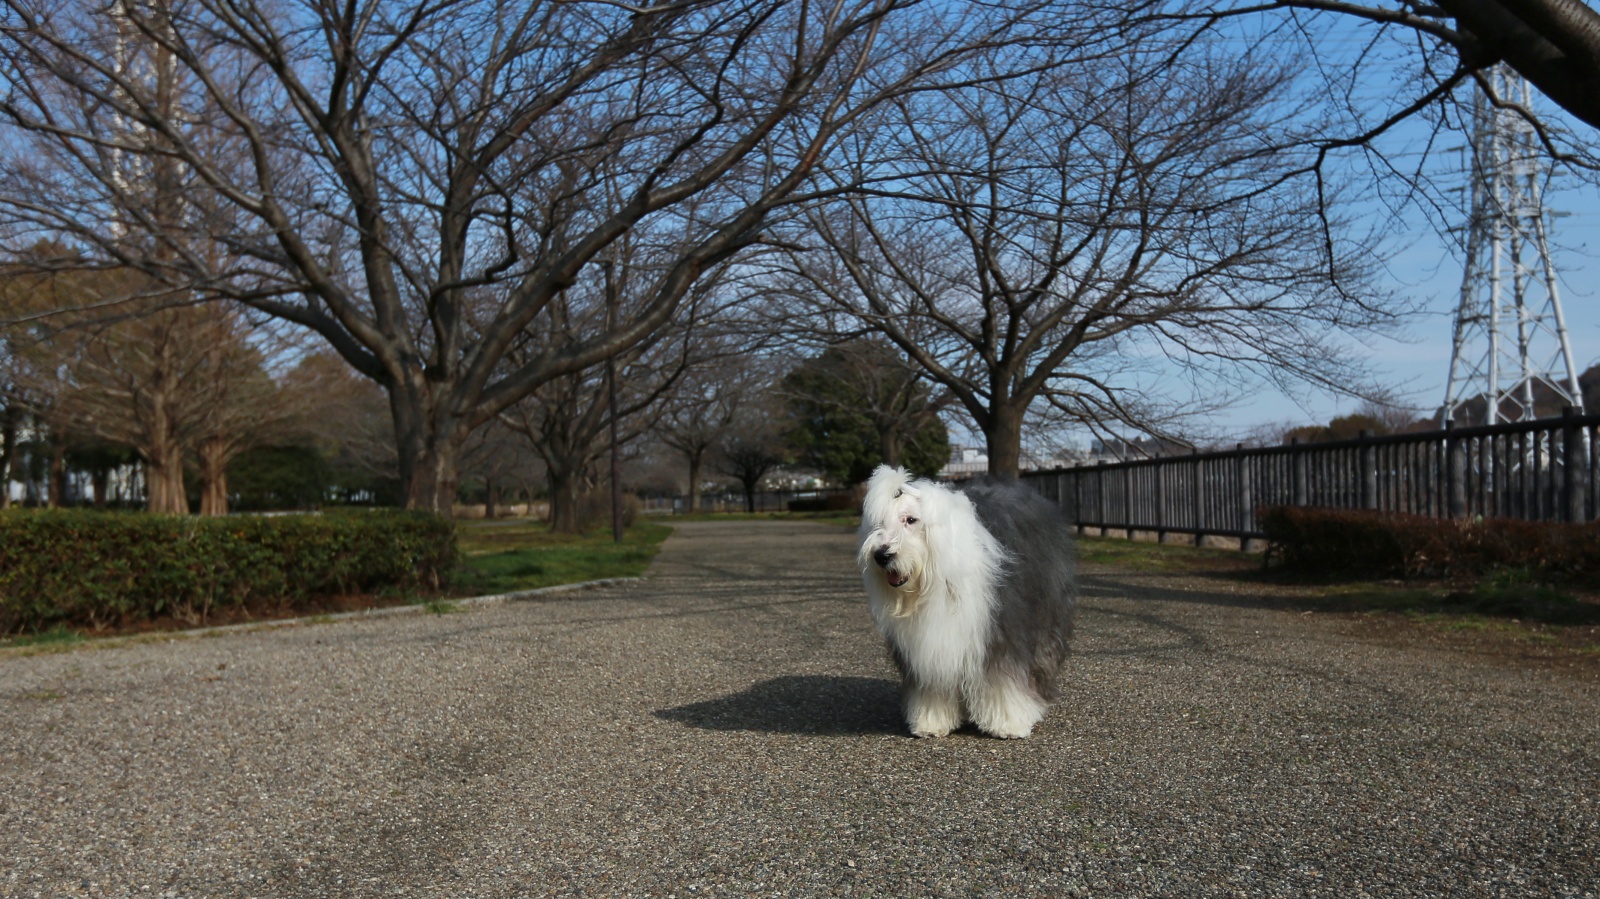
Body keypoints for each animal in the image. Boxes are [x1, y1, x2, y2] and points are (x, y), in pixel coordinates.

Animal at [857, 465, 1076, 738]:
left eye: (911, 520)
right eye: (879, 523)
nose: (882, 555)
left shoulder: (999, 628)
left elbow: (1003, 679)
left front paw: (1008, 723)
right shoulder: (929, 644)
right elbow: (932, 684)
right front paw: (931, 721)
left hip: (1047, 606)